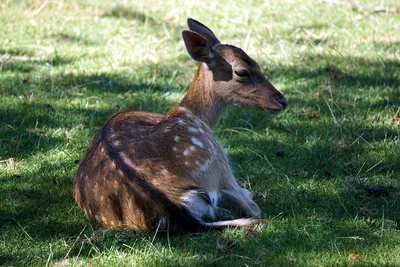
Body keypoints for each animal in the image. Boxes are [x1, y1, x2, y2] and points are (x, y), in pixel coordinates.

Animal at [73, 17, 288, 233]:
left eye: (257, 64)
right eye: (242, 72)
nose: (282, 100)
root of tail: (177, 204)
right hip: (213, 153)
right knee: (249, 207)